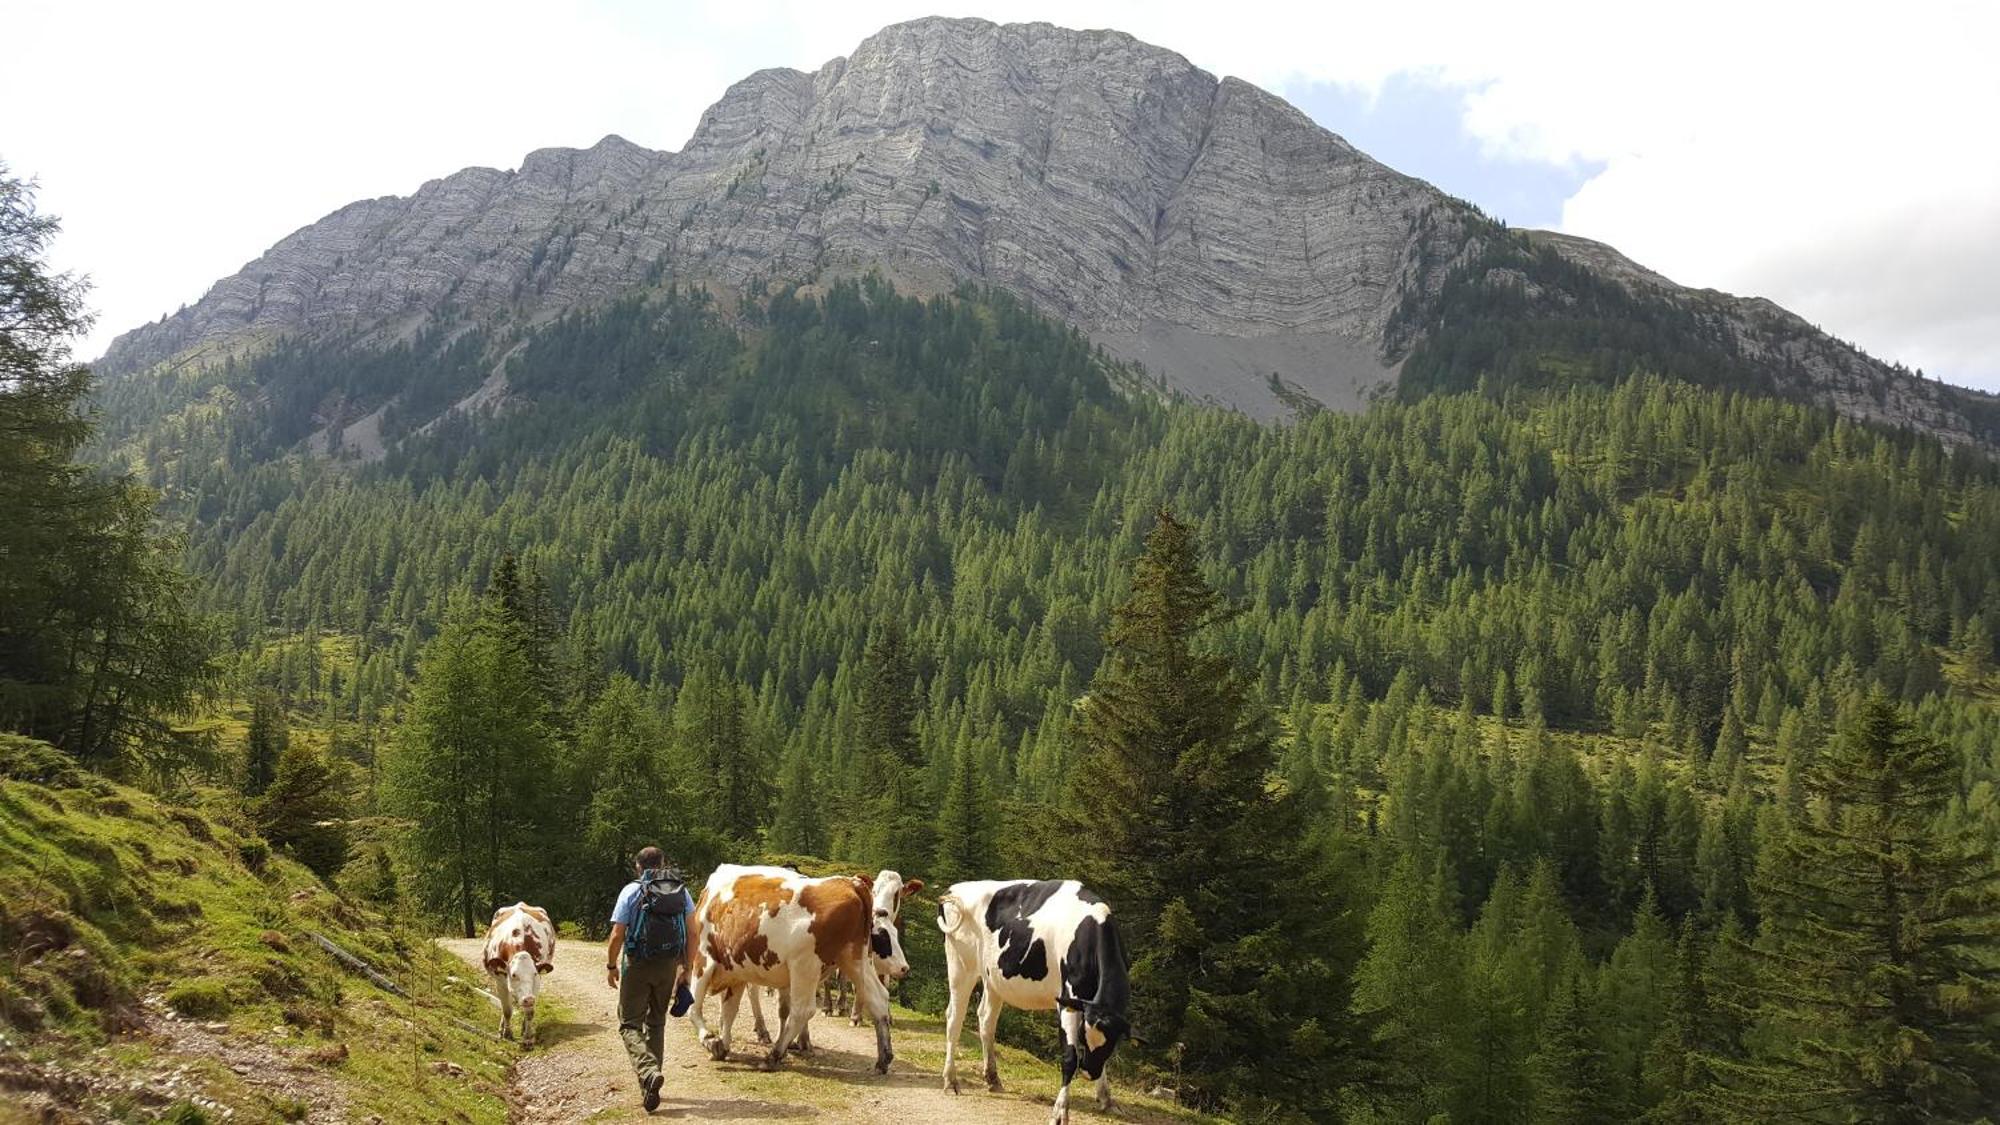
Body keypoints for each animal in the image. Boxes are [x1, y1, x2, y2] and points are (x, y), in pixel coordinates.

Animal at [478, 896, 556, 1048]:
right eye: (514, 975)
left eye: (535, 974)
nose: (528, 999)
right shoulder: (500, 981)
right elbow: (507, 1010)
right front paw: (507, 1034)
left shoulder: (537, 982)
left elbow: (530, 1012)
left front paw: (528, 1038)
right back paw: (502, 1028)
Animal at [752, 868, 920, 1040]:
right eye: (874, 890)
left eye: (897, 894)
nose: (880, 911)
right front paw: (848, 1013)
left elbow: (879, 984)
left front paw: (883, 1015)